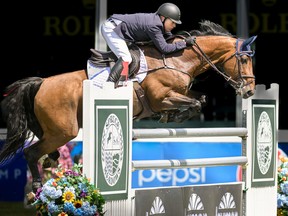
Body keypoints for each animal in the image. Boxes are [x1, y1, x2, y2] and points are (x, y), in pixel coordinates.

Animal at [0, 19, 256, 200]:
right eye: (244, 60)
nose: (250, 91)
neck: (178, 59)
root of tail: (41, 83)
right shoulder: (161, 98)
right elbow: (193, 104)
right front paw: (170, 116)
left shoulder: (181, 93)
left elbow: (200, 99)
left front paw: (172, 116)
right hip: (63, 130)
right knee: (30, 152)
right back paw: (36, 188)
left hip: (53, 130)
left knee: (40, 149)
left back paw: (48, 162)